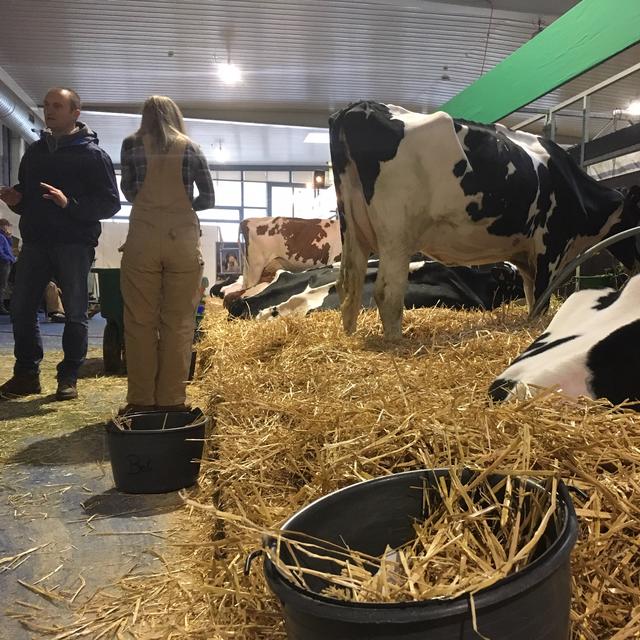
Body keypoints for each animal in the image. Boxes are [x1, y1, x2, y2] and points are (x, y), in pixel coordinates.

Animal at [330, 100, 640, 340]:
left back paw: (350, 336)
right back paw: (395, 342)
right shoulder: (549, 247)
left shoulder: (527, 258)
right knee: (387, 293)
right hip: (397, 233)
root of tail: (359, 106)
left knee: (348, 285)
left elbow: (532, 298)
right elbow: (541, 302)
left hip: (351, 224)